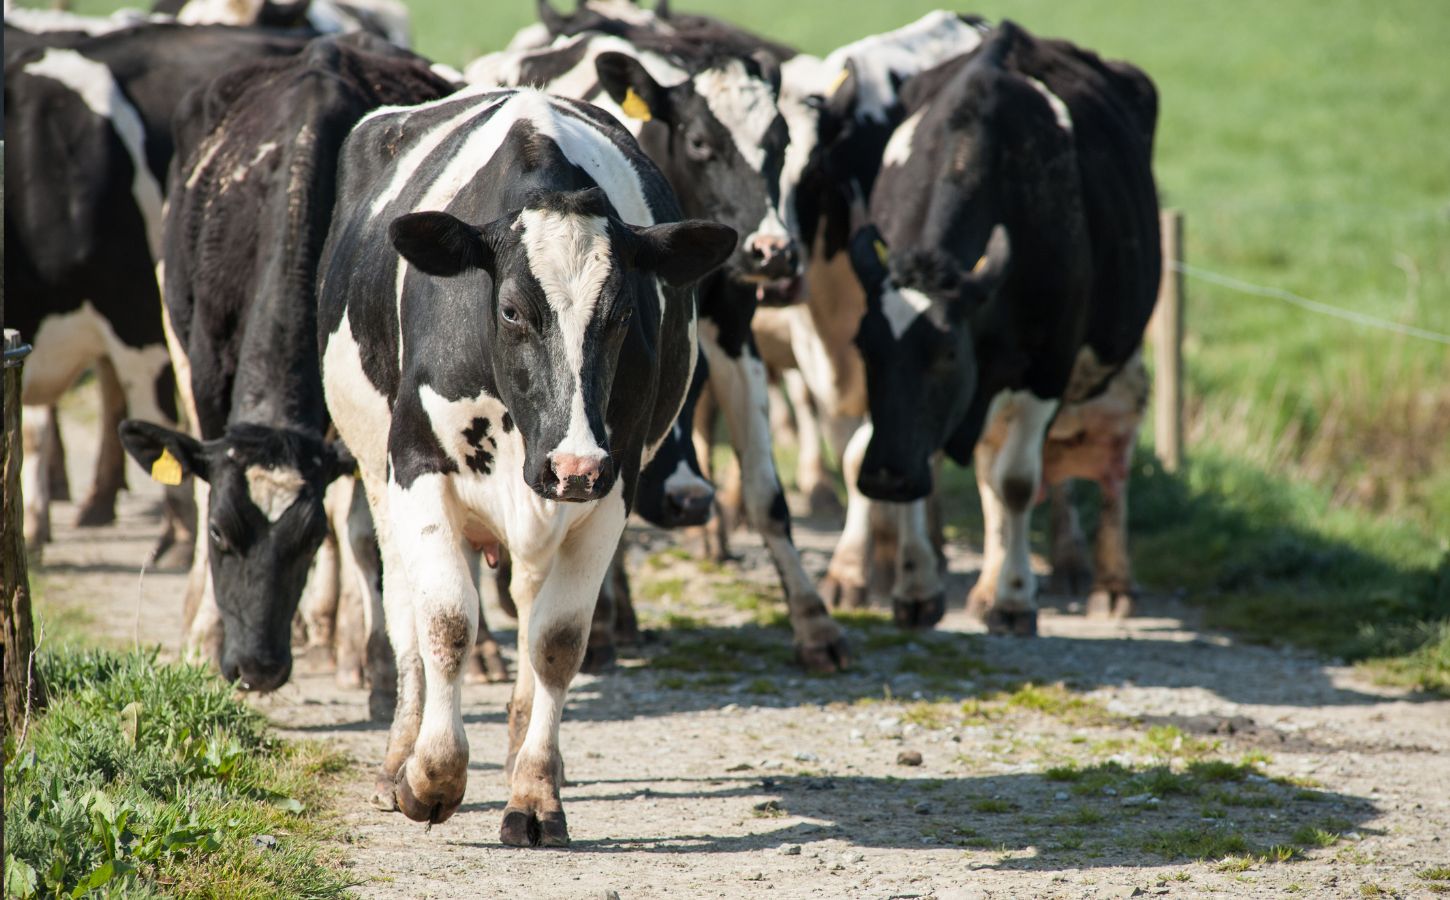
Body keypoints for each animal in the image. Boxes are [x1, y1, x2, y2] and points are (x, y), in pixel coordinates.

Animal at [118, 31, 455, 692]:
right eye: (222, 534)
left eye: (306, 539)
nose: (258, 667)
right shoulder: (206, 376)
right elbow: (204, 484)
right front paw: (204, 640)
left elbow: (360, 532)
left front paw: (374, 659)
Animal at [311, 87, 730, 840]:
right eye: (510, 310)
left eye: (622, 315)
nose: (573, 464)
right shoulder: (417, 466)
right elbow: (446, 620)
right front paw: (432, 776)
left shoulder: (613, 486)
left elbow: (557, 642)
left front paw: (535, 793)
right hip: (378, 476)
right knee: (404, 609)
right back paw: (397, 758)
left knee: (531, 607)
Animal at [464, 24, 846, 669]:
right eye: (698, 141)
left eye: (782, 141)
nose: (773, 252)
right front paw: (601, 622)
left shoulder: (731, 328)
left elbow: (767, 492)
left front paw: (814, 623)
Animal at [846, 21, 1160, 634]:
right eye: (864, 348)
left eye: (947, 353)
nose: (885, 477)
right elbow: (936, 465)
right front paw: (916, 586)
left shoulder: (1049, 367)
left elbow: (1016, 482)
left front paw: (1016, 599)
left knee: (1106, 461)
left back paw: (1109, 584)